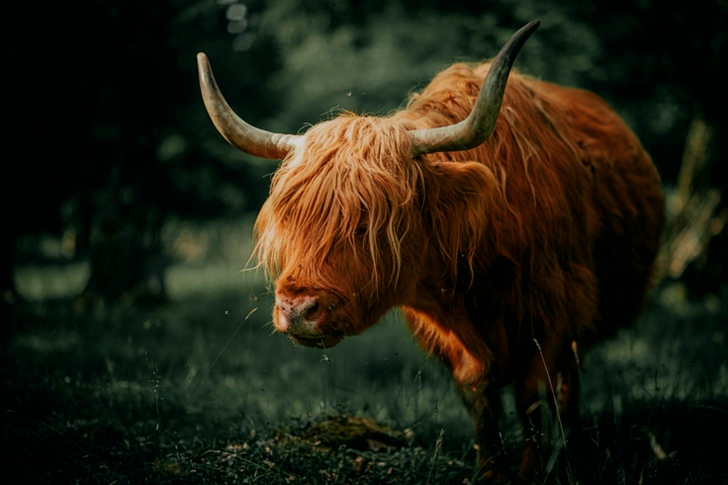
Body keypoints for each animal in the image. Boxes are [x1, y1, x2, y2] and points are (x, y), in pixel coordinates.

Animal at [197, 20, 664, 483]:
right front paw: (490, 473)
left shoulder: (551, 311)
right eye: (291, 219)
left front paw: (532, 473)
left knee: (567, 385)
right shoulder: (449, 334)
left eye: (370, 220)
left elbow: (532, 396)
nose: (297, 309)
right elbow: (479, 395)